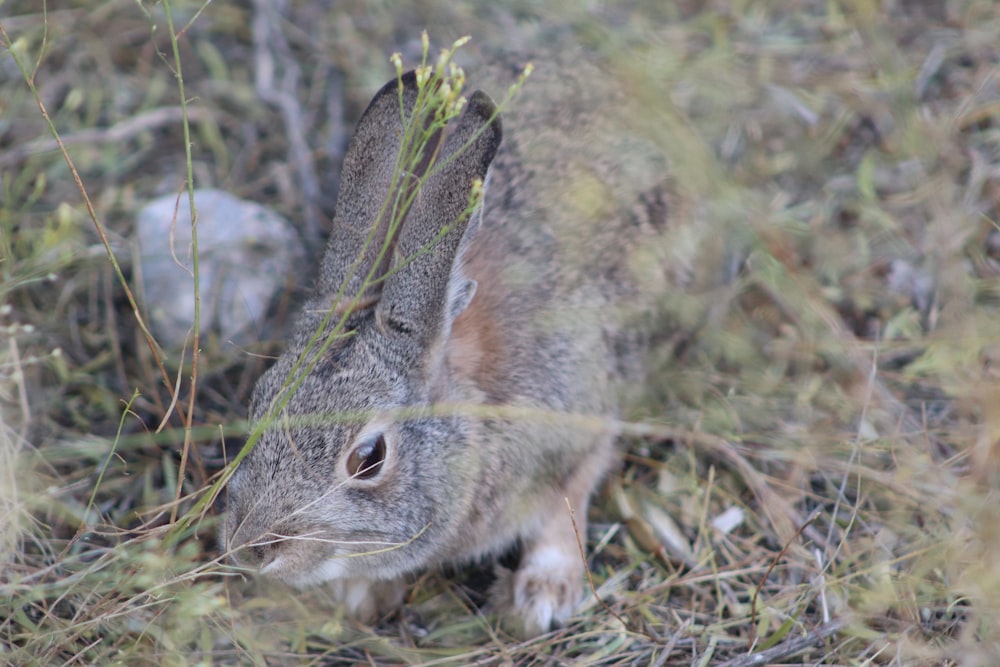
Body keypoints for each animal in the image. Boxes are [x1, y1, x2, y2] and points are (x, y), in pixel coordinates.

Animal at [227, 48, 672, 636]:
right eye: (257, 406)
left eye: (369, 458)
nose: (252, 550)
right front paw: (361, 595)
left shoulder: (583, 418)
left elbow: (569, 503)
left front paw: (541, 595)